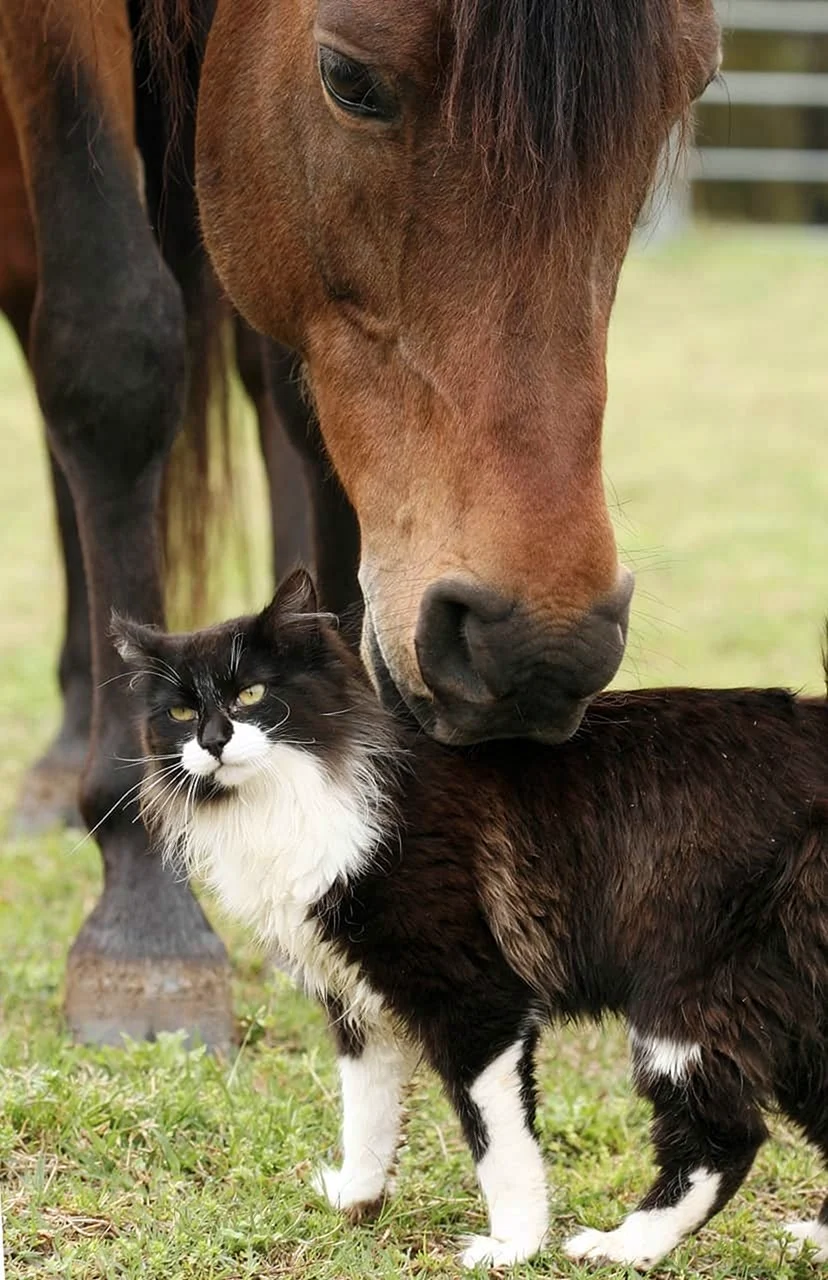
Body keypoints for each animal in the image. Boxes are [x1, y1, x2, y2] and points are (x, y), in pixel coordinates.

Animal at [0, 0, 716, 1039]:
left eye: (688, 88)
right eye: (349, 79)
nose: (539, 648)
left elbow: (303, 408)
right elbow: (110, 354)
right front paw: (142, 920)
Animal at [113, 576, 828, 1274]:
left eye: (252, 693)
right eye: (180, 712)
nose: (213, 740)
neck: (304, 799)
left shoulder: (478, 999)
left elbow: (497, 1143)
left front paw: (515, 1244)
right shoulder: (357, 1006)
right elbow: (365, 1112)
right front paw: (356, 1200)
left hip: (684, 999)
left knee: (726, 1138)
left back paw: (623, 1247)